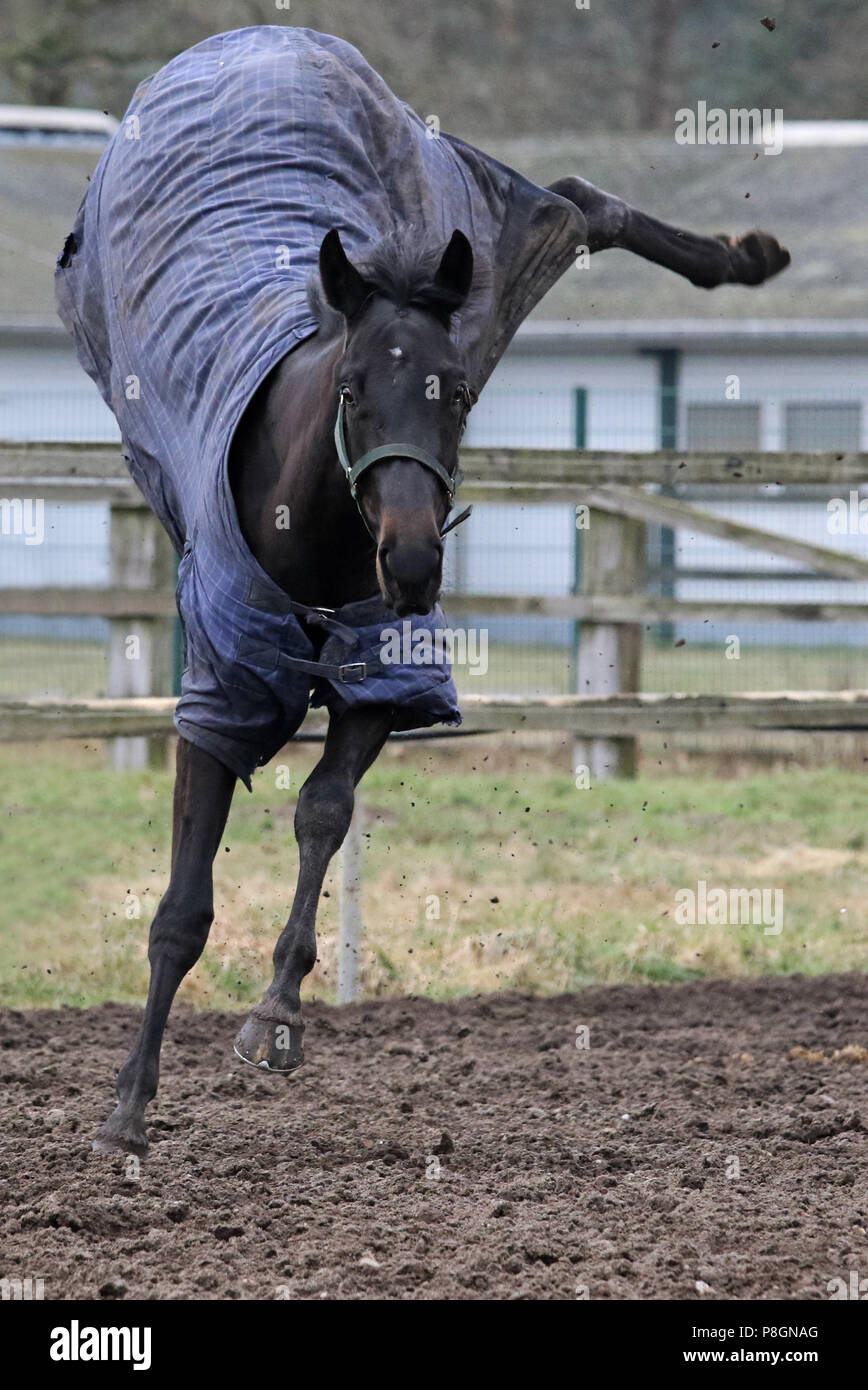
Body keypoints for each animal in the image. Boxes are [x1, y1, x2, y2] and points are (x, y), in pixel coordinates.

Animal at [55, 28, 788, 1156]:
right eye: (354, 388)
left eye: (460, 395)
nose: (409, 564)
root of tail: (253, 42)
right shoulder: (218, 701)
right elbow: (181, 907)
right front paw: (127, 1108)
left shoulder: (382, 679)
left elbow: (322, 810)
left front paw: (277, 1014)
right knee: (567, 209)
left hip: (476, 250)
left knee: (571, 207)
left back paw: (740, 256)